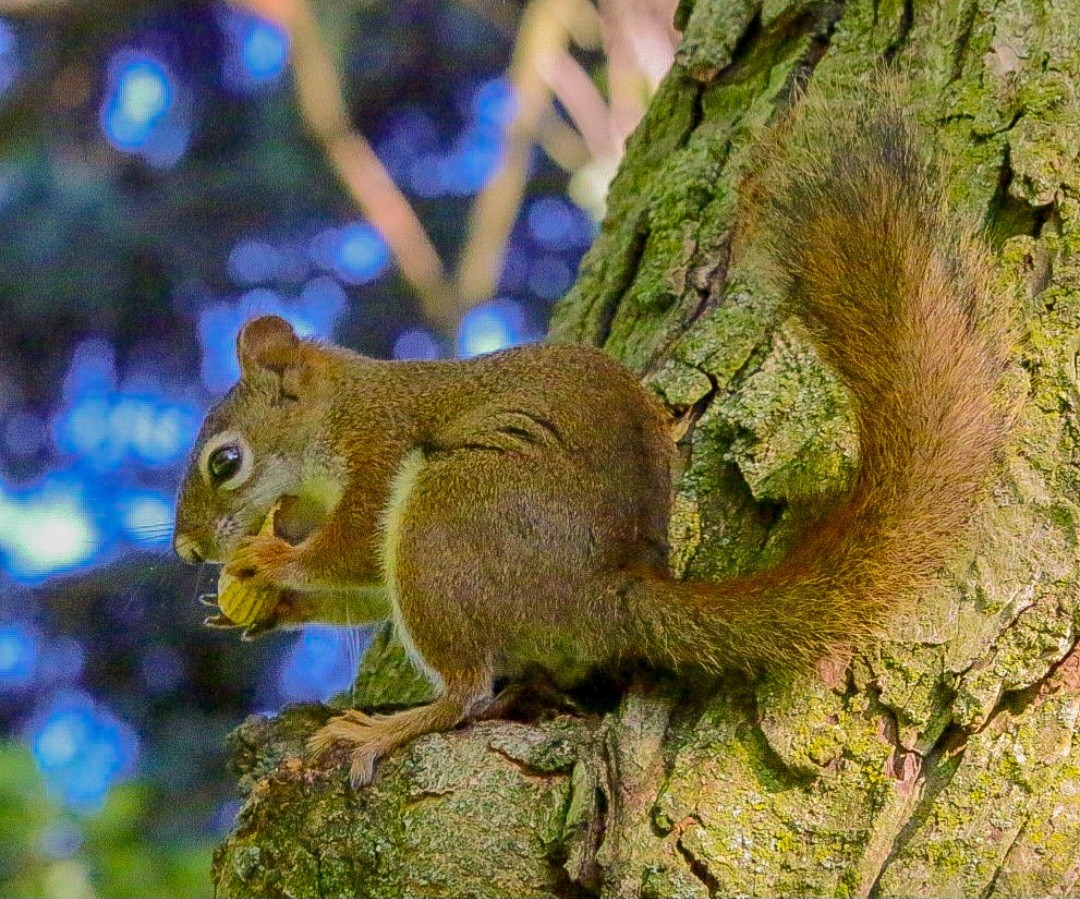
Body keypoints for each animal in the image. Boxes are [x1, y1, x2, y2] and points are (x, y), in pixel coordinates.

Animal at [173, 88, 1008, 787]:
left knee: (467, 692)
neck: (338, 416)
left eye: (225, 461)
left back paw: (382, 729)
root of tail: (602, 592)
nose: (187, 550)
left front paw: (271, 561)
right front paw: (263, 606)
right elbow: (360, 587)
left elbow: (347, 549)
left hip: (449, 514)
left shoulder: (380, 453)